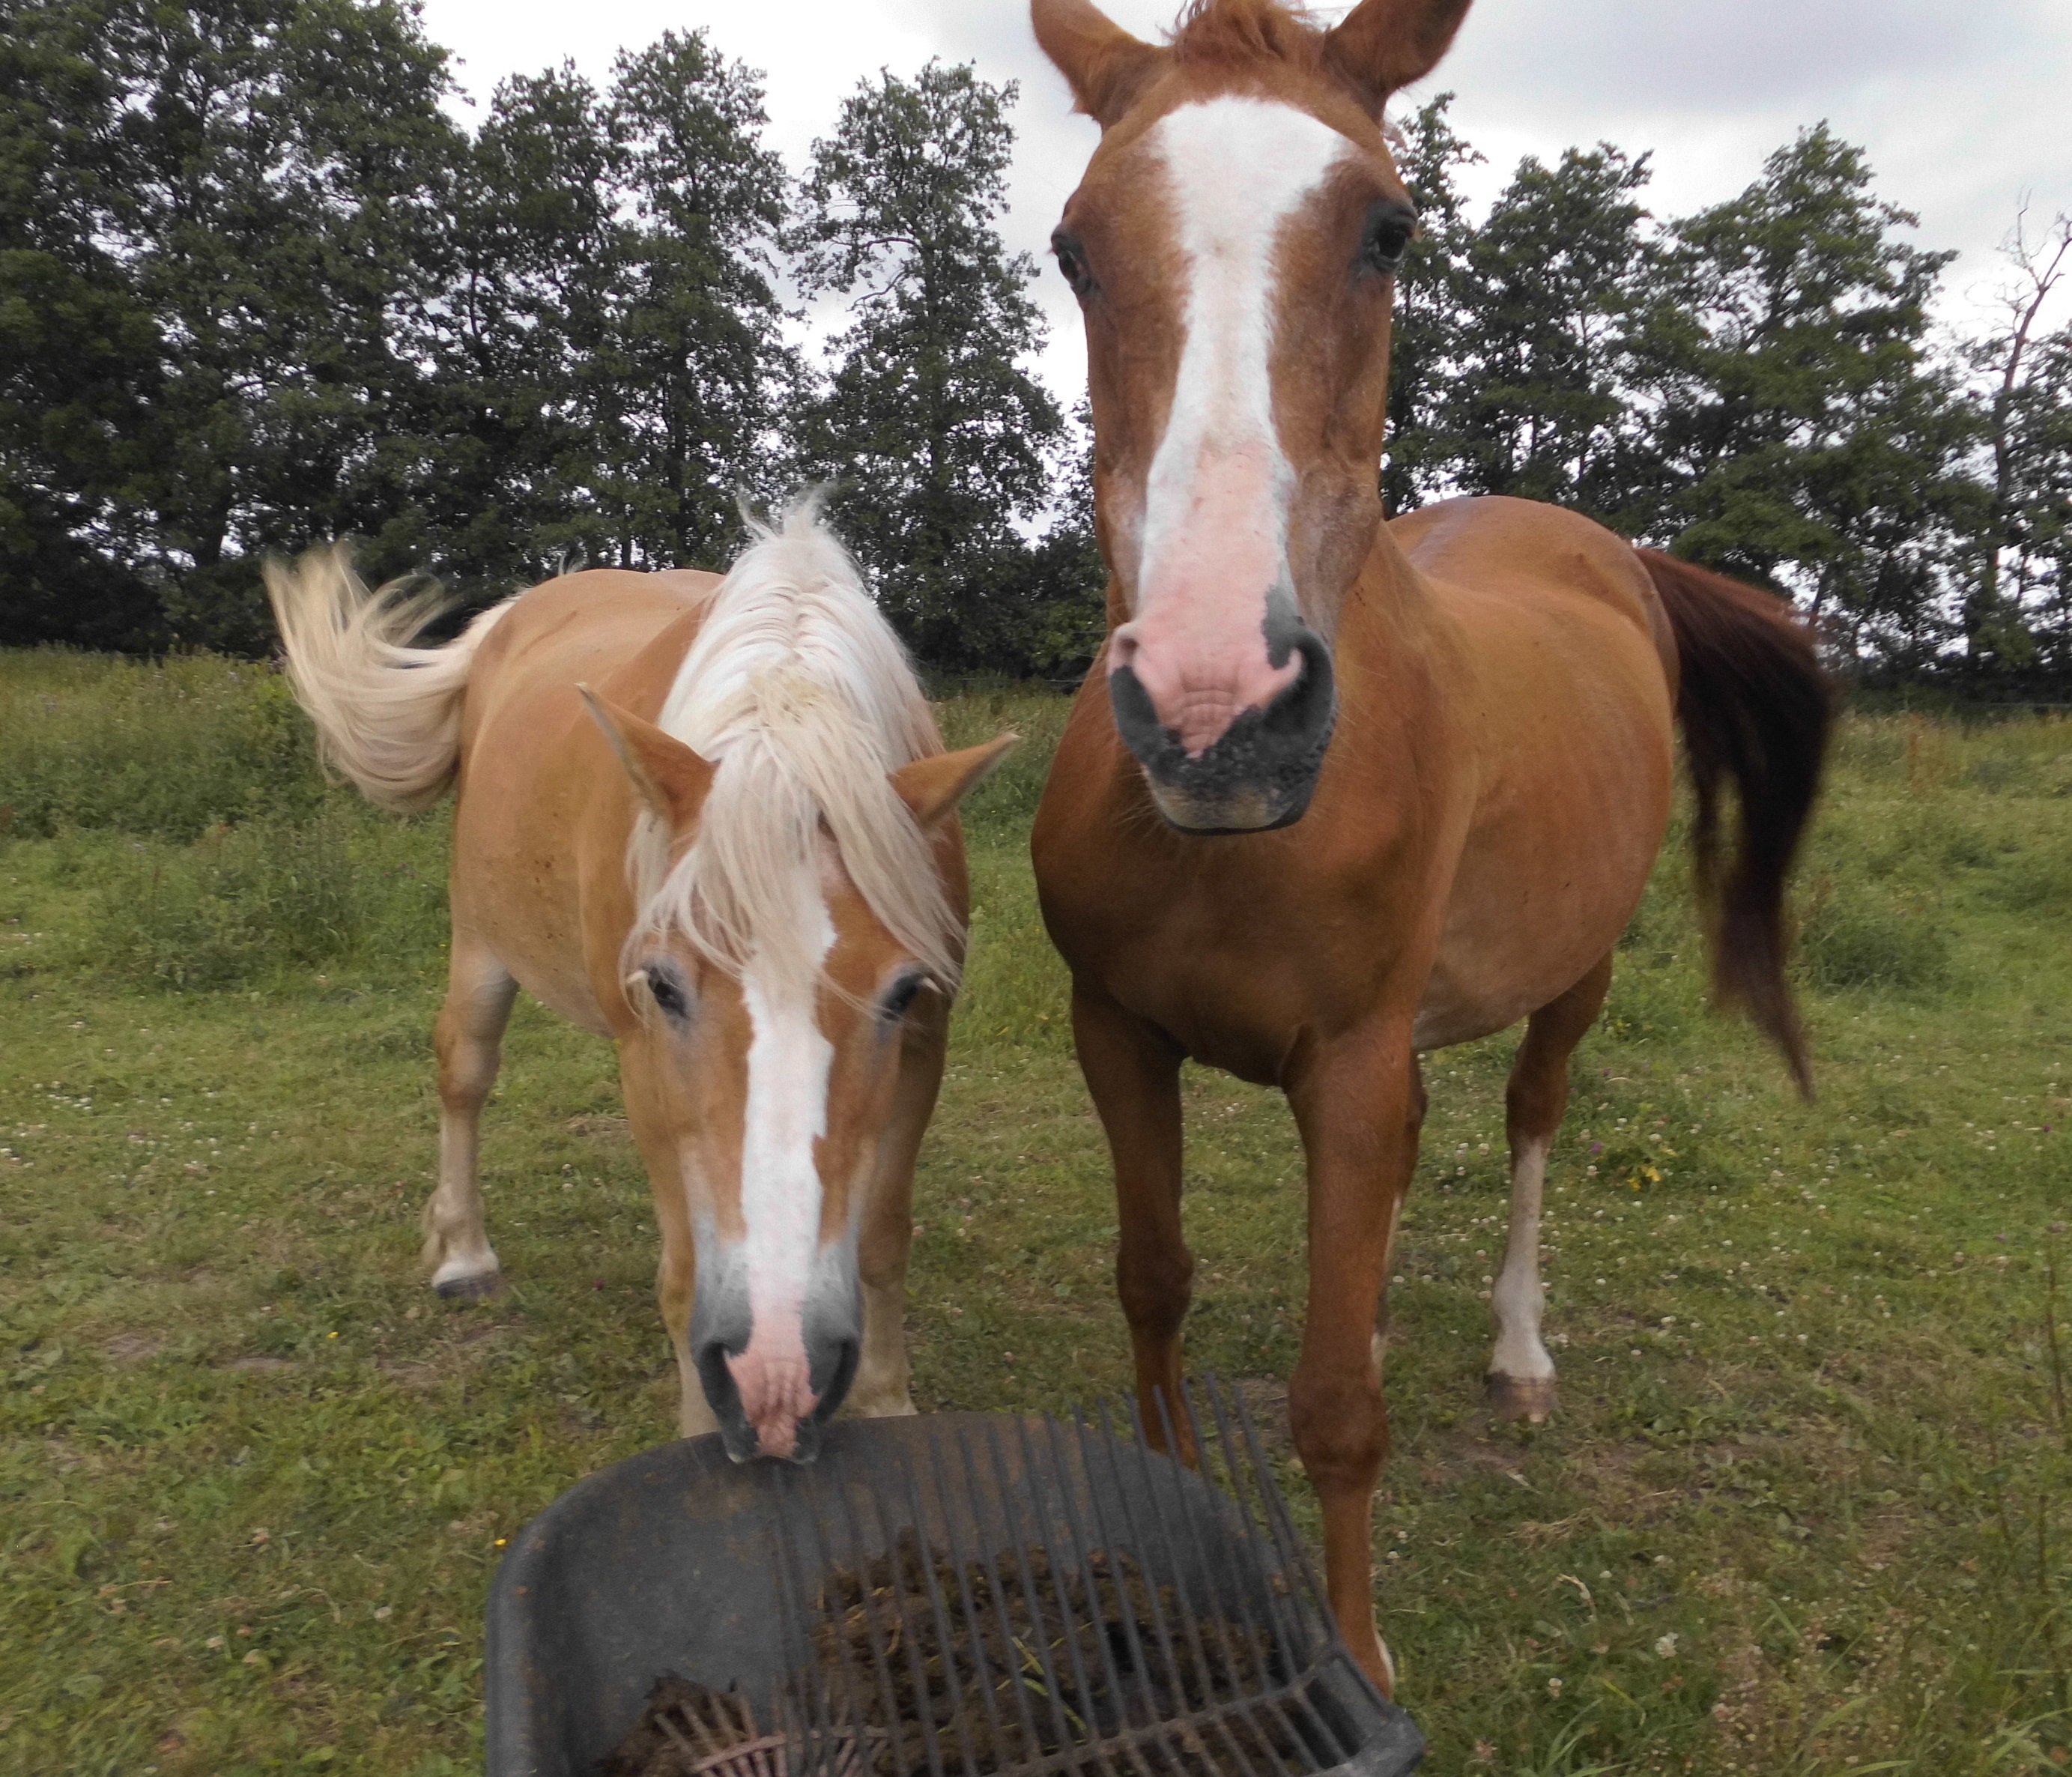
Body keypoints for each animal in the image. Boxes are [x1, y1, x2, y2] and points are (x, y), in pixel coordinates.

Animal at [266, 505, 1013, 1463]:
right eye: (663, 986)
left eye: (901, 988)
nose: (779, 1376)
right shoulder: (646, 1060)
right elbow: (687, 1269)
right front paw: (701, 1425)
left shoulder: (924, 1046)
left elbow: (882, 1237)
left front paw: (887, 1401)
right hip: (481, 938)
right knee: (463, 1070)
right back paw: (464, 1253)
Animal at [1026, 0, 1832, 1687]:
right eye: (1072, 248)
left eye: (1388, 230)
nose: (1216, 708)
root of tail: (1604, 551)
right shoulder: (1115, 1029)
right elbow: (1154, 1288)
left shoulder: (1344, 1056)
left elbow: (1338, 1408)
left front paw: (1358, 1652)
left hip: (1574, 977)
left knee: (1531, 1121)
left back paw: (1517, 1351)